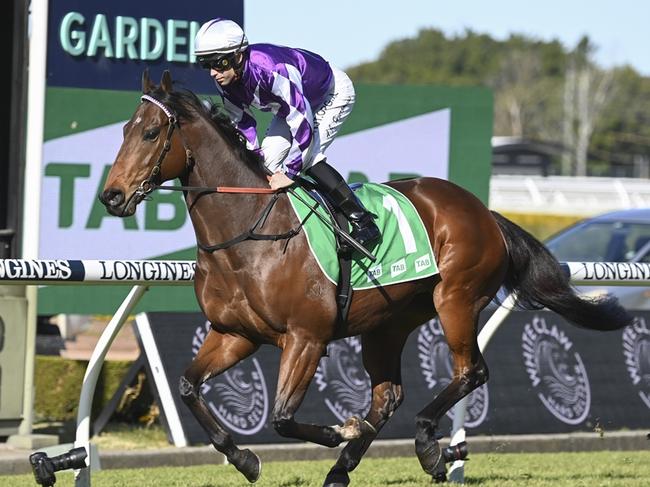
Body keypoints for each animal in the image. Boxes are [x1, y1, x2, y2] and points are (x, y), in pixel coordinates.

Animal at [98, 70, 632, 486]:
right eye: (123, 129)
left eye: (151, 134)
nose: (112, 195)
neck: (249, 233)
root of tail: (484, 211)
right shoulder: (235, 334)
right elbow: (188, 386)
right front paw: (245, 459)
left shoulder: (306, 337)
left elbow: (283, 417)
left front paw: (340, 431)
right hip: (388, 323)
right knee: (388, 395)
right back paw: (348, 467)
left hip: (456, 299)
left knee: (470, 372)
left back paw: (430, 446)